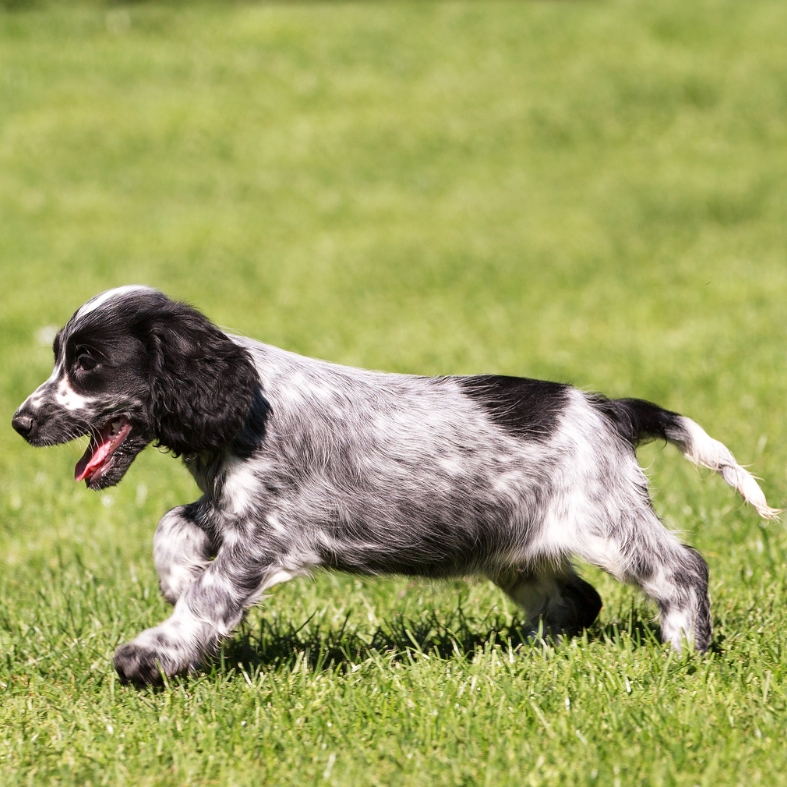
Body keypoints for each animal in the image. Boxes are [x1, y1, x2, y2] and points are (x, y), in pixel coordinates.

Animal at [12, 288, 780, 684]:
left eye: (87, 364)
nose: (20, 422)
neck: (246, 403)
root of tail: (608, 407)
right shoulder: (229, 507)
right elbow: (172, 523)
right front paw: (174, 579)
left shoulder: (264, 536)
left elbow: (209, 596)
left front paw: (151, 653)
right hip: (512, 544)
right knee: (575, 599)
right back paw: (525, 655)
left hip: (606, 521)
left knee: (681, 569)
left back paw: (685, 652)